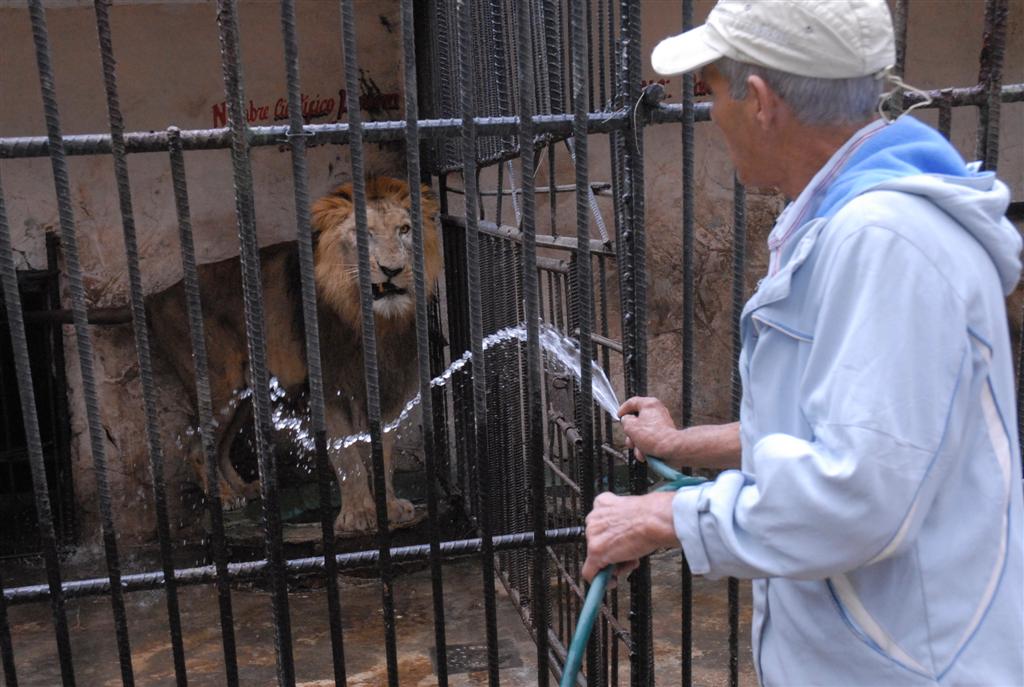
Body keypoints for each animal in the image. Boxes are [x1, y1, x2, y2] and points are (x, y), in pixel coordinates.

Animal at [148, 175, 440, 536]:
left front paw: (389, 506)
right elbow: (347, 457)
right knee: (197, 445)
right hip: (219, 386)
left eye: (404, 229)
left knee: (221, 445)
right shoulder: (328, 389)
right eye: (364, 233)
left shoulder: (388, 388)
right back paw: (225, 497)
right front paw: (358, 515)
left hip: (244, 392)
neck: (367, 317)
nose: (392, 270)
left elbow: (382, 451)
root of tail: (158, 295)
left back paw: (245, 488)